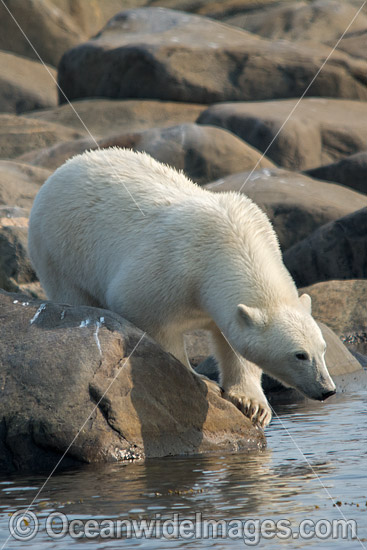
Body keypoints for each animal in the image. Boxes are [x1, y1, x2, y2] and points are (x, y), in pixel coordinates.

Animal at [28, 149, 336, 430]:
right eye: (299, 354)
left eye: (322, 349)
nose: (327, 389)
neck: (230, 241)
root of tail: (65, 167)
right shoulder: (168, 269)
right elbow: (153, 324)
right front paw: (196, 379)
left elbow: (233, 343)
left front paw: (253, 405)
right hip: (60, 249)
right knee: (72, 292)